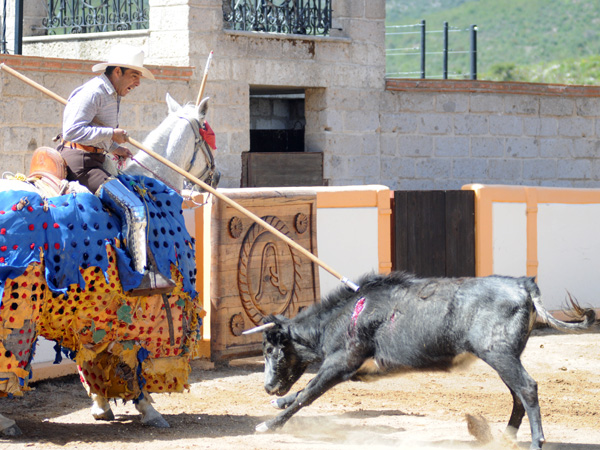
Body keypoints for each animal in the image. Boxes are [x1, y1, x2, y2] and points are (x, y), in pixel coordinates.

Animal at [0, 92, 216, 436]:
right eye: (209, 133)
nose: (216, 177)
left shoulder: (92, 312)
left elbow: (96, 354)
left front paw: (101, 404)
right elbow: (136, 359)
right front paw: (148, 408)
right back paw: (6, 421)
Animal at [247, 270, 596, 450]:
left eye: (269, 350)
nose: (267, 388)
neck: (345, 315)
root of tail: (522, 284)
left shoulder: (342, 362)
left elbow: (307, 394)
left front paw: (268, 424)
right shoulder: (352, 368)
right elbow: (303, 391)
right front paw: (278, 404)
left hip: (499, 354)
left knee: (527, 388)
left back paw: (536, 441)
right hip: (505, 357)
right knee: (517, 394)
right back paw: (505, 438)